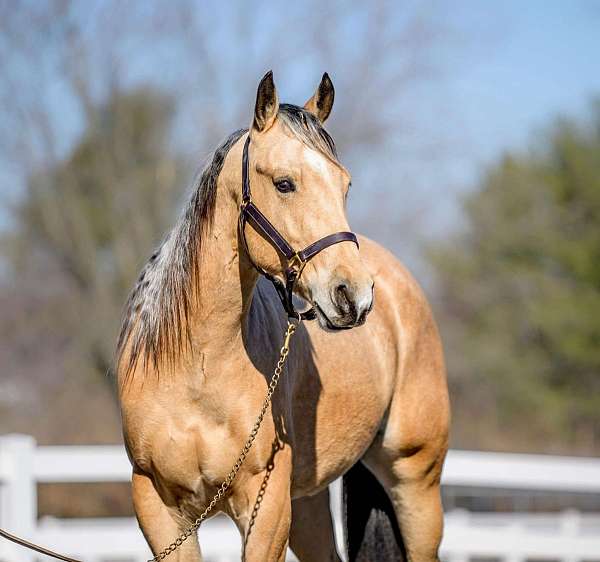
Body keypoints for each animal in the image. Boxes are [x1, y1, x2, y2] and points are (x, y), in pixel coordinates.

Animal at [115, 71, 448, 560]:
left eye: (345, 185)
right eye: (284, 183)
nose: (353, 296)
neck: (197, 367)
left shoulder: (266, 501)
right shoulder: (158, 507)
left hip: (415, 481)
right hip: (308, 500)